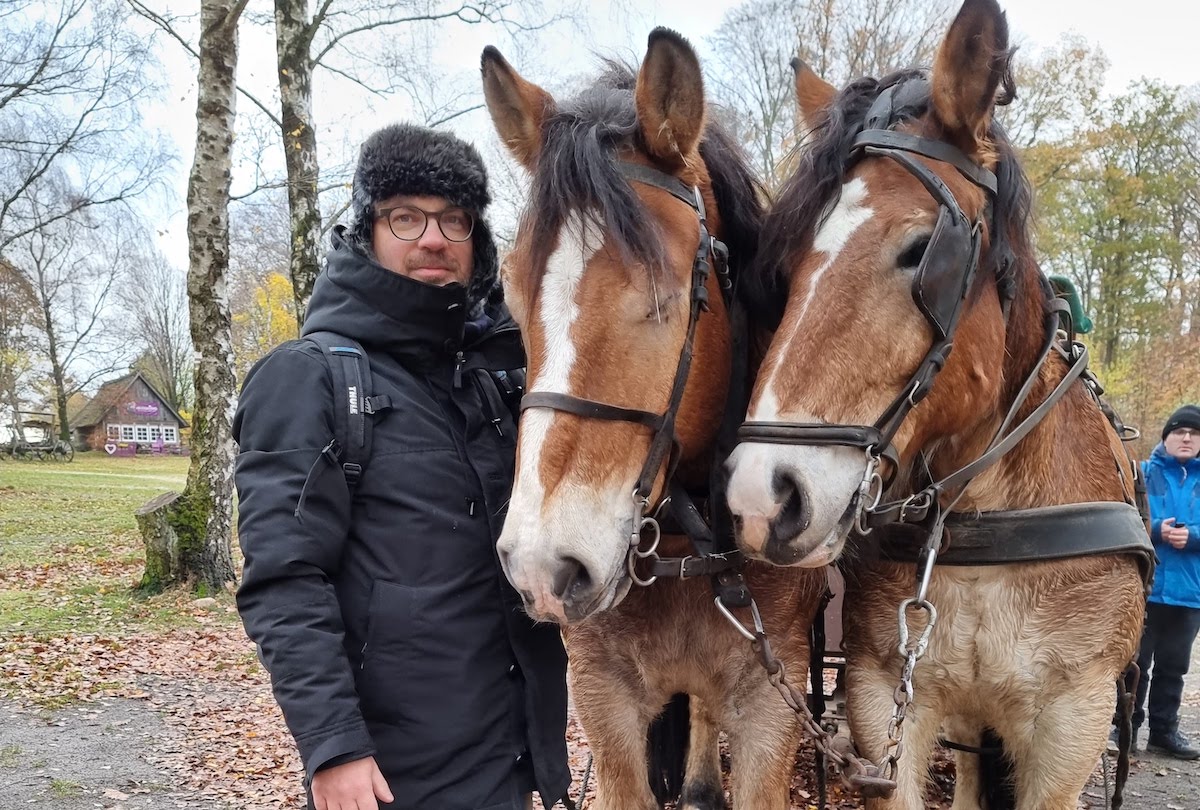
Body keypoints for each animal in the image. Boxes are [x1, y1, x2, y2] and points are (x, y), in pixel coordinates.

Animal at [724, 3, 1147, 806]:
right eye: (784, 266)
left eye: (923, 251)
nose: (763, 496)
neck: (979, 524)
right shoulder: (882, 693)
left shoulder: (1072, 723)